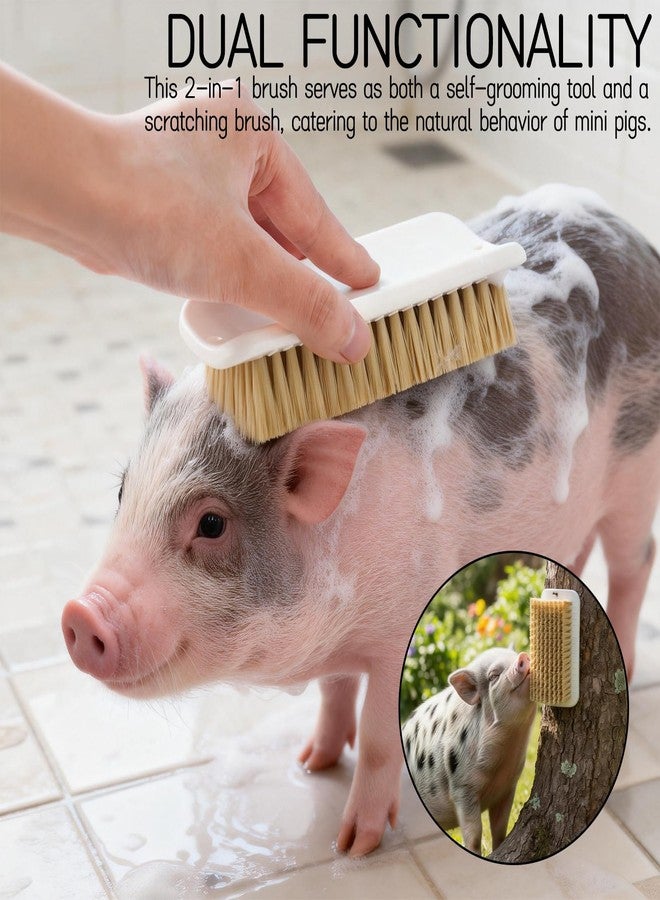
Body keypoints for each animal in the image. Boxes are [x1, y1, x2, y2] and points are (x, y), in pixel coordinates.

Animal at [402, 648, 536, 855]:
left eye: (513, 657)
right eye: (494, 676)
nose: (523, 656)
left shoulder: (508, 786)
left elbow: (499, 827)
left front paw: (498, 850)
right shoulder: (462, 788)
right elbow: (474, 833)